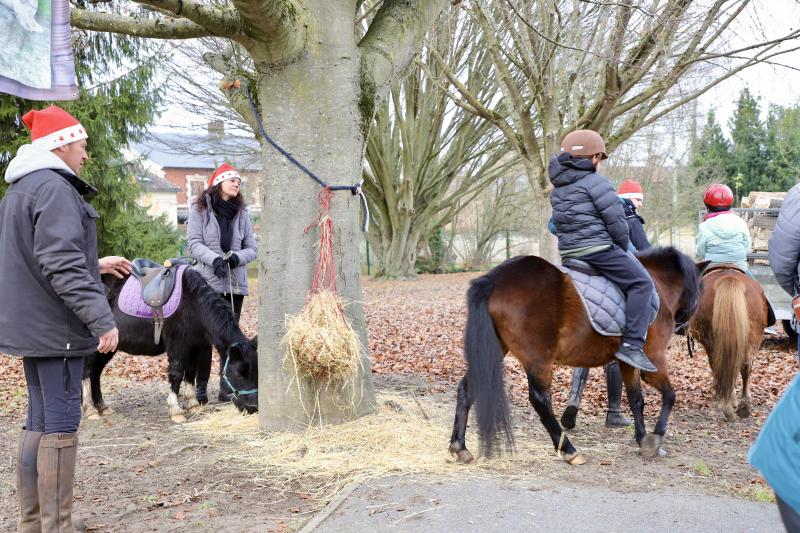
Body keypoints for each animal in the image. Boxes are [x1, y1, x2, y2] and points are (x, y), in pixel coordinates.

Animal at [450, 247, 708, 464]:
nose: (685, 329)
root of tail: (493, 280)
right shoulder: (653, 358)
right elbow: (670, 395)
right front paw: (657, 438)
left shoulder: (627, 361)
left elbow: (637, 400)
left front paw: (642, 438)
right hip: (538, 360)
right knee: (540, 401)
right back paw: (569, 450)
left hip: (495, 349)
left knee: (468, 389)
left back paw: (459, 447)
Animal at [688, 268, 768, 422]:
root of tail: (729, 279)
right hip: (754, 336)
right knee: (745, 366)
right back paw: (743, 407)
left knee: (721, 366)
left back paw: (728, 406)